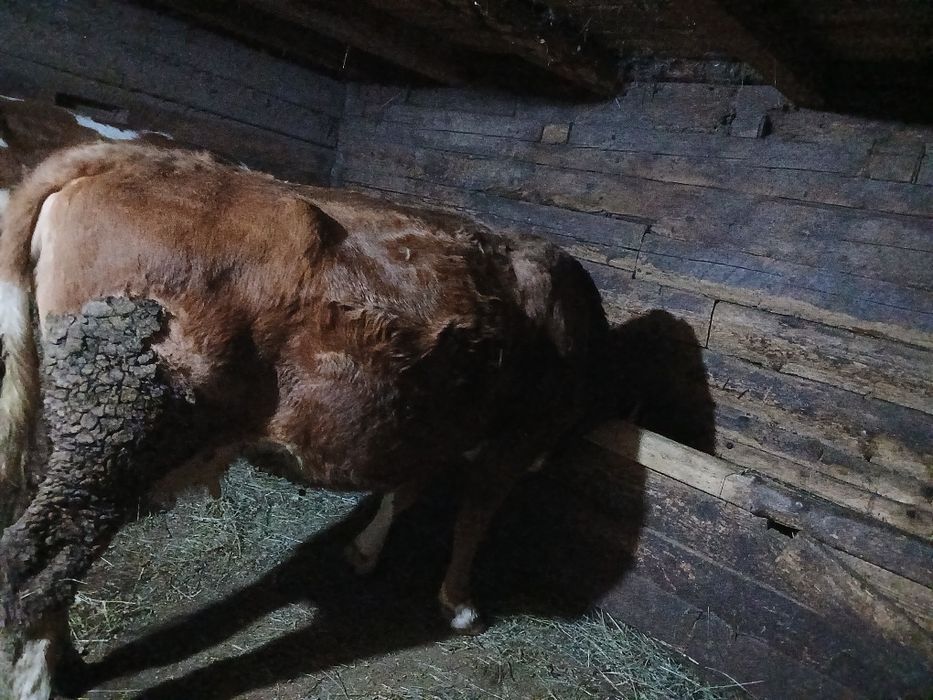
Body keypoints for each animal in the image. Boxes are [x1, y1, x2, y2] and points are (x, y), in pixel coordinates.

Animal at [0, 143, 616, 700]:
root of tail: (129, 155)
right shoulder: (515, 441)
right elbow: (473, 522)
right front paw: (460, 605)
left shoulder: (432, 431)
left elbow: (406, 490)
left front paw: (365, 552)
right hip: (115, 423)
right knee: (39, 560)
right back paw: (39, 680)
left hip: (62, 426)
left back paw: (65, 660)